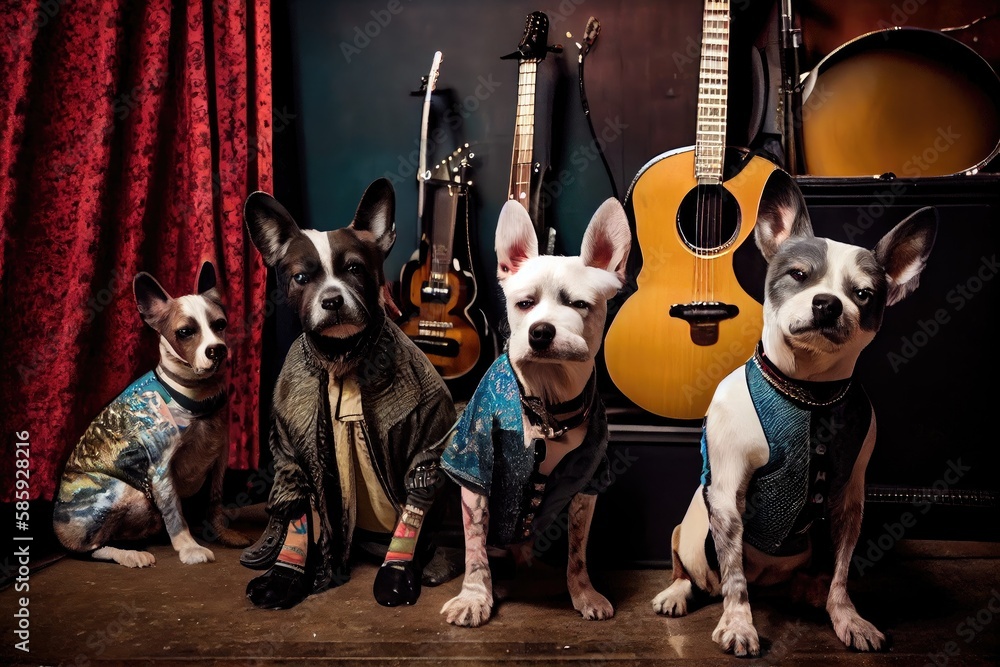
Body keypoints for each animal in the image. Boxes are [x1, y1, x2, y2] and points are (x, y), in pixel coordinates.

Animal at [53, 260, 250, 568]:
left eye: (220, 325)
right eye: (185, 332)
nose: (216, 350)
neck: (197, 397)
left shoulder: (219, 458)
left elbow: (215, 503)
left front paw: (223, 534)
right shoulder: (160, 472)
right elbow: (175, 514)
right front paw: (189, 548)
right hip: (129, 492)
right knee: (90, 549)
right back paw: (129, 554)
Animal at [242, 177, 460, 612]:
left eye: (355, 269)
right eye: (300, 278)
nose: (331, 300)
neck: (342, 359)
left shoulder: (426, 441)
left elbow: (416, 499)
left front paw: (398, 570)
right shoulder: (291, 449)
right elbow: (297, 504)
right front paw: (285, 574)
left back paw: (433, 564)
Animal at [440, 198, 628, 628]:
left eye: (578, 305)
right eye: (524, 304)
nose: (540, 331)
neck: (548, 402)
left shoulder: (589, 481)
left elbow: (578, 553)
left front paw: (583, 592)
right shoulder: (474, 466)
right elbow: (475, 549)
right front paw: (474, 596)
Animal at [652, 179, 940, 656]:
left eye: (863, 294)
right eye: (799, 276)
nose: (827, 304)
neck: (809, 391)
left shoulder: (848, 503)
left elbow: (841, 573)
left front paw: (847, 616)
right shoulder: (725, 497)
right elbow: (733, 578)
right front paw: (739, 623)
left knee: (802, 579)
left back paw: (809, 590)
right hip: (690, 525)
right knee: (693, 568)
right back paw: (678, 592)